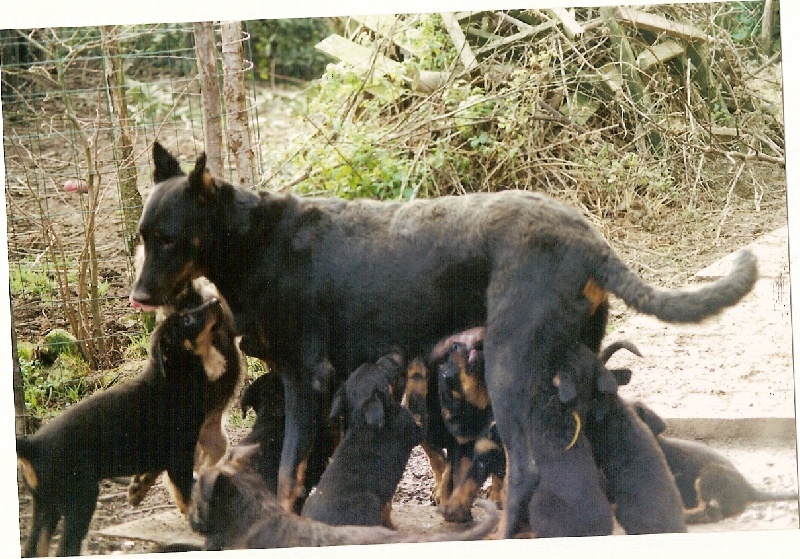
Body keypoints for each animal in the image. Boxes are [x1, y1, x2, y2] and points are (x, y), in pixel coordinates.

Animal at [15, 280, 241, 556]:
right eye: (187, 319)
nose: (216, 301)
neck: (173, 378)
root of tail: (32, 446)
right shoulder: (179, 456)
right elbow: (185, 494)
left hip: (46, 505)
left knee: (34, 547)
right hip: (80, 497)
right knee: (66, 548)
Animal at [300, 354, 424, 528]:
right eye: (381, 369)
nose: (394, 356)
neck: (362, 422)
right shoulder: (413, 430)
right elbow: (414, 406)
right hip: (369, 502)